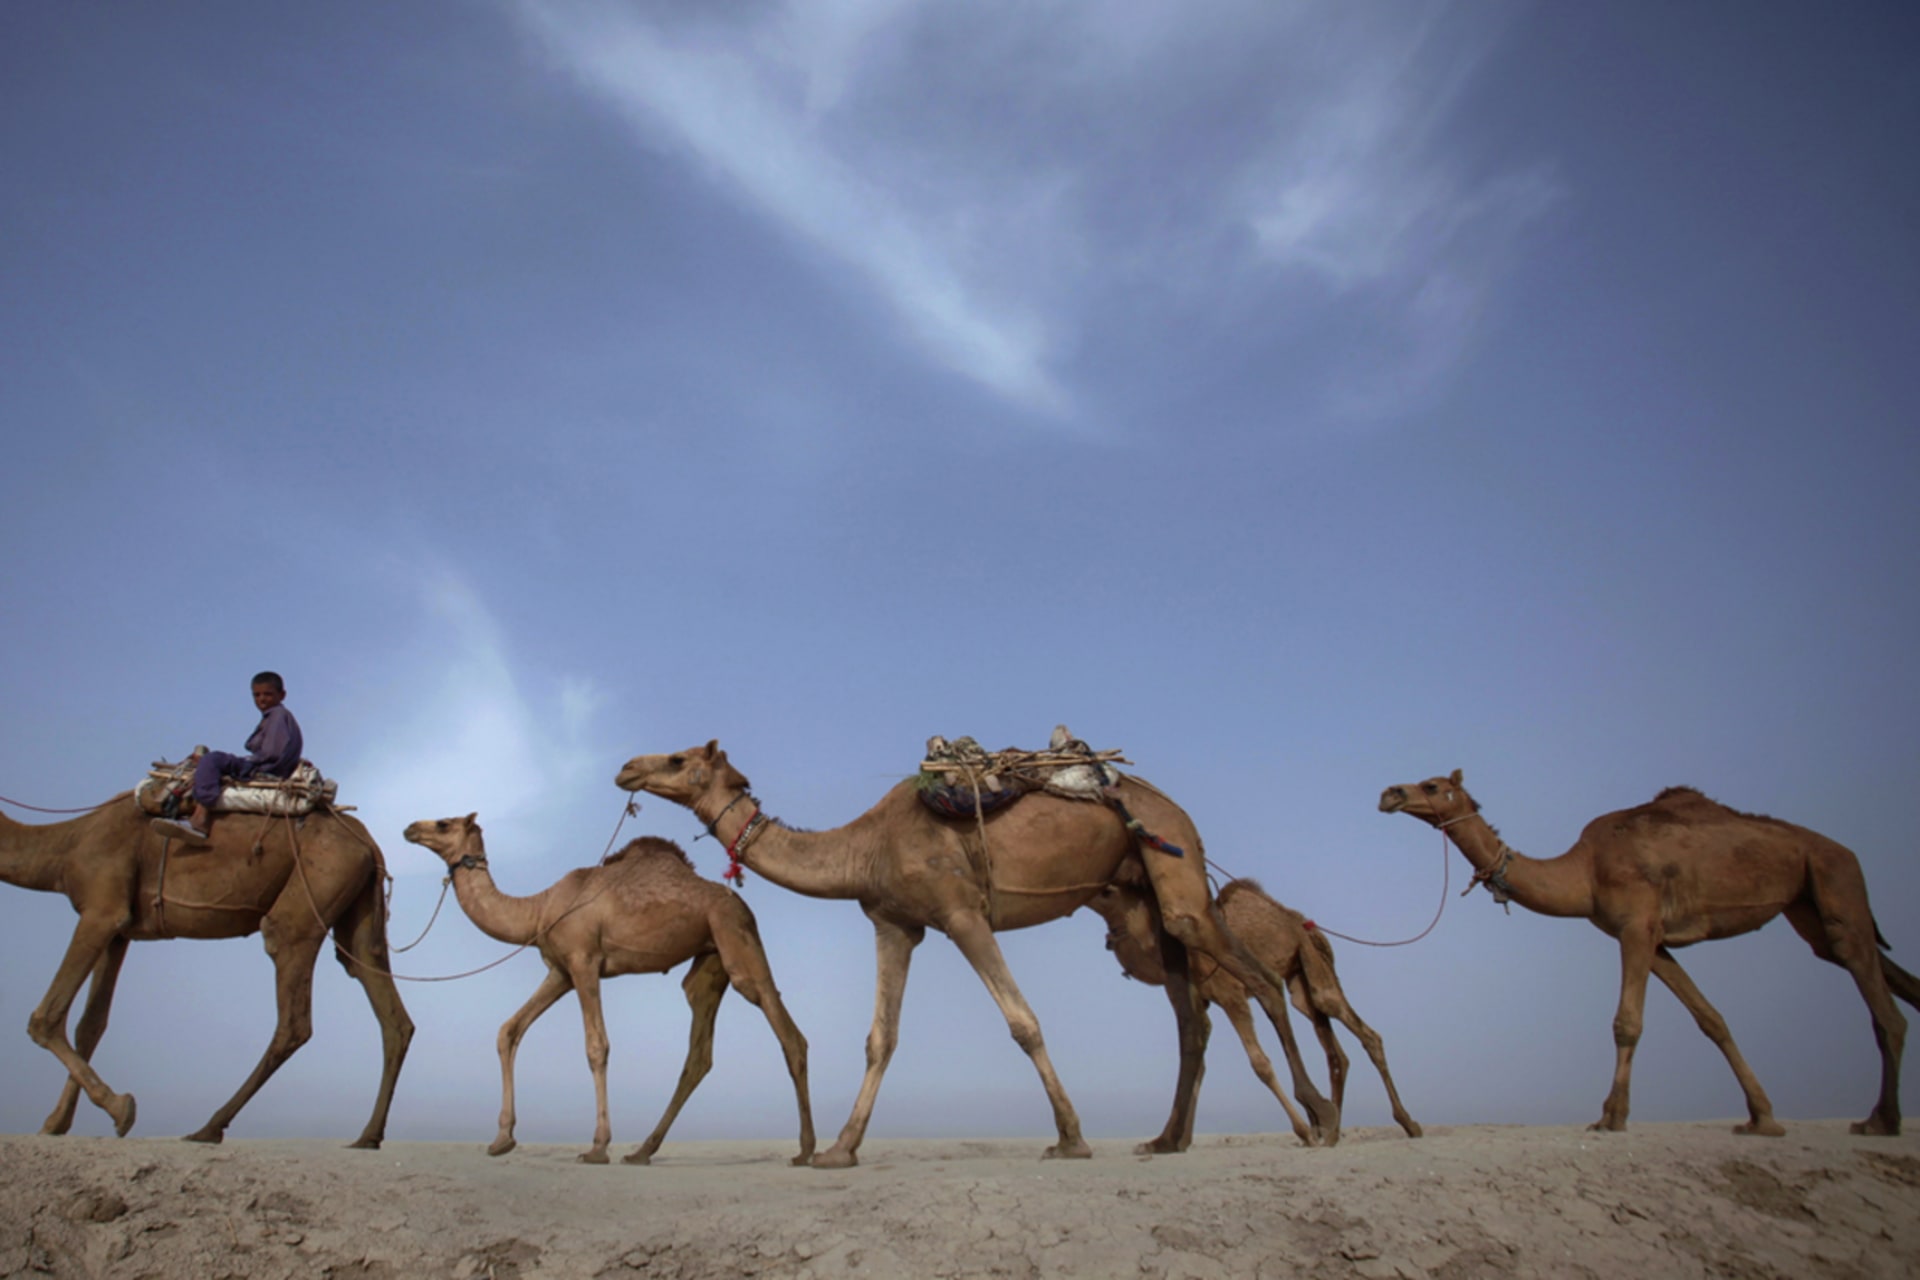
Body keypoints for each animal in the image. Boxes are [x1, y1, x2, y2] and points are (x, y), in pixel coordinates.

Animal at [0, 795, 413, 1145]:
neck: (68, 847)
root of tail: (368, 841)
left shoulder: (101, 910)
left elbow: (46, 1018)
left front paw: (120, 1108)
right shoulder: (118, 929)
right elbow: (91, 1026)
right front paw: (57, 1123)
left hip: (315, 886)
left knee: (292, 1012)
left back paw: (208, 1127)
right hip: (358, 907)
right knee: (387, 1006)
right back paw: (368, 1136)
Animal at [402, 814, 814, 1166]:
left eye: (444, 823)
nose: (410, 828)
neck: (538, 908)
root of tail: (743, 905)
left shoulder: (584, 961)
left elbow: (596, 1046)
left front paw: (598, 1146)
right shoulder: (560, 972)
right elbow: (509, 1029)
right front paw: (502, 1139)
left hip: (735, 933)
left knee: (787, 1031)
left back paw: (806, 1150)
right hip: (710, 959)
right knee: (699, 1051)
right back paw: (643, 1151)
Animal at [615, 740, 1339, 1168]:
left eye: (677, 759)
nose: (627, 767)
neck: (864, 846)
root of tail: (1170, 803)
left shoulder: (961, 913)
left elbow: (1022, 1022)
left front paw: (1070, 1137)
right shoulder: (896, 923)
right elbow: (880, 1038)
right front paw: (840, 1149)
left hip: (1175, 865)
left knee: (1257, 981)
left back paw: (1320, 1120)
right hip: (1144, 906)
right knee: (1193, 1017)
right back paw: (1166, 1139)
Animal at [1088, 876, 1421, 1146]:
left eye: (1108, 891)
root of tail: (1306, 926)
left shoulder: (1231, 993)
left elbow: (1259, 1062)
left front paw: (1304, 1130)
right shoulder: (1200, 997)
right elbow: (1198, 1057)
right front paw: (1173, 1141)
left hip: (1314, 969)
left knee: (1361, 1030)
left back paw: (1407, 1123)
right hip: (1301, 984)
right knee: (1336, 1052)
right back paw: (1333, 1132)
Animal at [1380, 770, 1920, 1136]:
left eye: (1432, 785)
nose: (1390, 794)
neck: (1584, 871)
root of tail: (1845, 851)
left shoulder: (1636, 927)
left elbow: (1627, 1022)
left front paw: (1611, 1116)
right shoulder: (1655, 939)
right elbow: (1711, 1018)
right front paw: (1762, 1117)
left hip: (1835, 878)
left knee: (1877, 994)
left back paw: (1881, 1121)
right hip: (1807, 906)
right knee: (1882, 974)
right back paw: (1881, 1116)